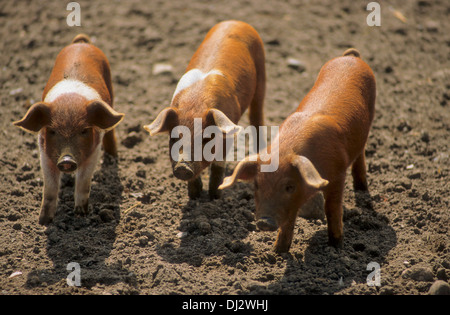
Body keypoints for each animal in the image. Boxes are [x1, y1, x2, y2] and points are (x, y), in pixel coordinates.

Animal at [13, 33, 124, 226]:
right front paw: (43, 221)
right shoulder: (43, 152)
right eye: (52, 131)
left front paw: (81, 215)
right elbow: (49, 188)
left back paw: (113, 156)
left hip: (110, 86)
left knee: (111, 129)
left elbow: (84, 183)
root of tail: (81, 43)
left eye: (84, 131)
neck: (69, 101)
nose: (67, 159)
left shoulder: (94, 152)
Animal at [144, 20, 266, 200]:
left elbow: (218, 166)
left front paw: (215, 197)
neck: (195, 103)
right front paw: (194, 196)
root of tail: (235, 22)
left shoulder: (228, 134)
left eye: (206, 139)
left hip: (261, 73)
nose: (183, 167)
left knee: (257, 113)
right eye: (173, 138)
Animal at [220, 48, 374, 253]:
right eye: (256, 185)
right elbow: (288, 219)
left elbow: (332, 208)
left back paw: (362, 189)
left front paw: (337, 247)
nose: (264, 222)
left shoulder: (338, 173)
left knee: (361, 155)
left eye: (289, 186)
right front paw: (278, 251)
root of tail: (350, 57)